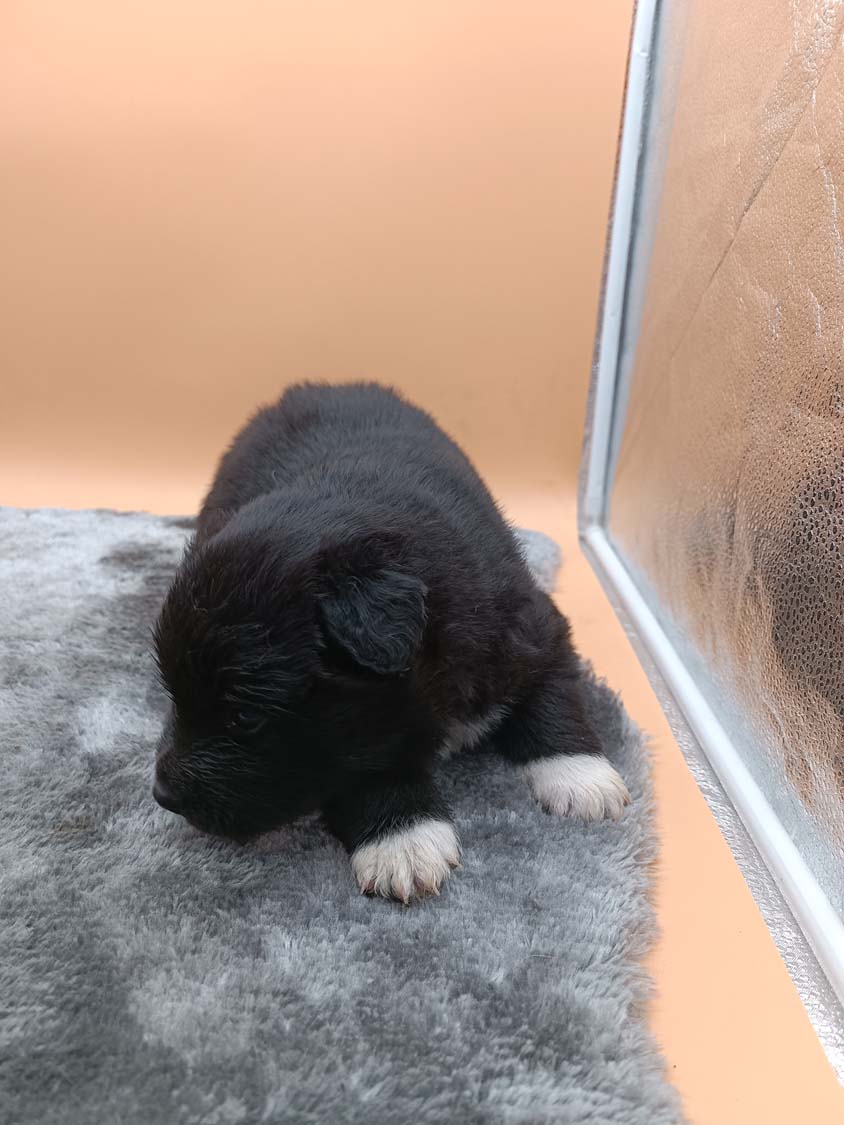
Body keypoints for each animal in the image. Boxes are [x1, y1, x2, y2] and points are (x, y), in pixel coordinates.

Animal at [152, 383, 628, 901]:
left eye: (245, 718)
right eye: (175, 696)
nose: (163, 795)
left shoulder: (530, 626)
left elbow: (553, 692)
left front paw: (581, 778)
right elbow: (367, 770)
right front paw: (403, 842)